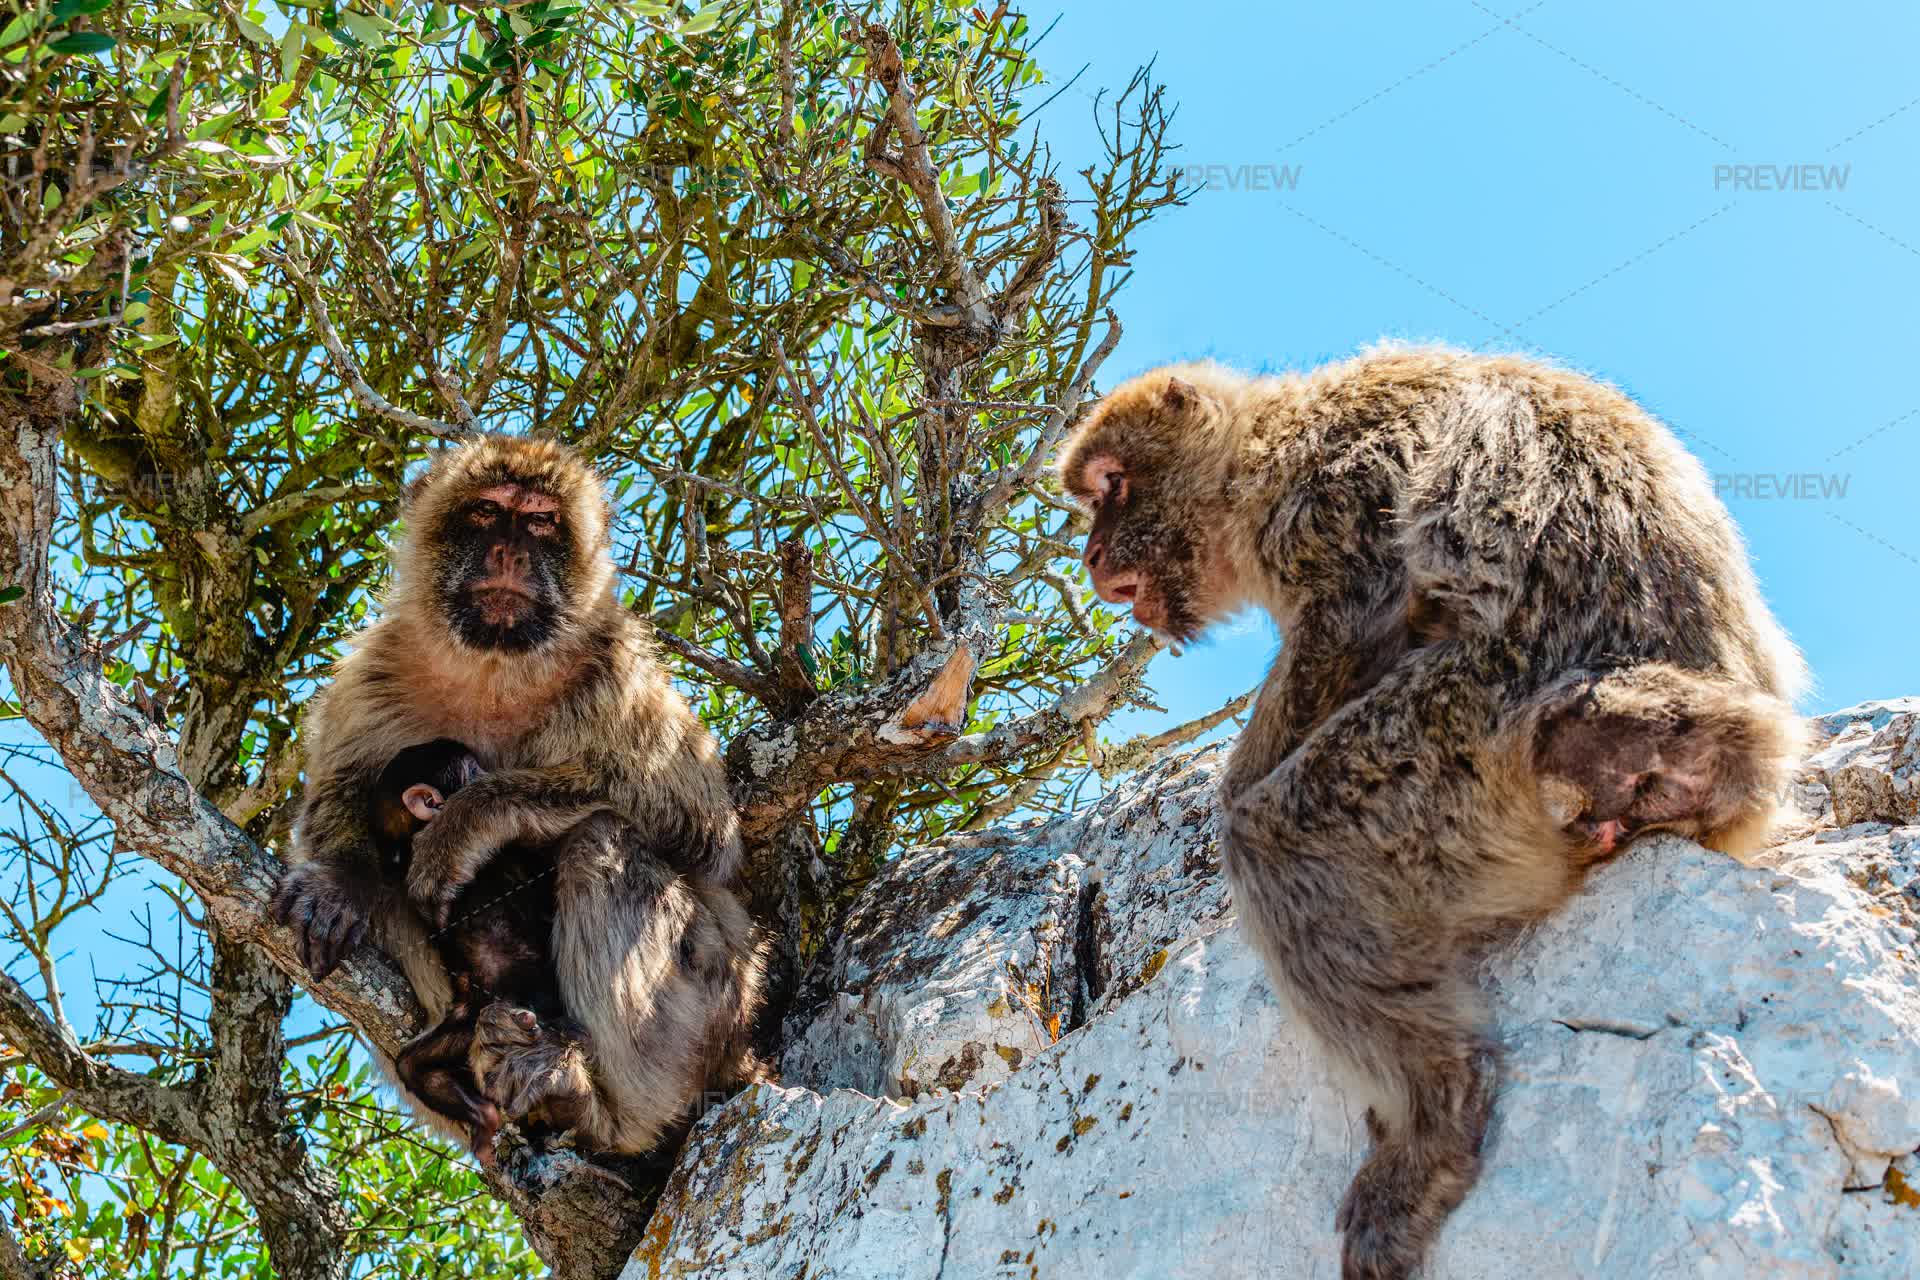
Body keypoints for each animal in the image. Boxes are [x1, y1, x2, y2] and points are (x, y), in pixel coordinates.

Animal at [271, 434, 767, 1157]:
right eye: (485, 513)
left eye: (539, 523)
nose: (509, 552)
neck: (494, 668)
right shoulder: (374, 671)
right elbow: (337, 800)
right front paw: (339, 882)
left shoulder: (617, 671)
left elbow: (701, 831)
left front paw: (467, 823)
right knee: (396, 899)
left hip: (707, 1007)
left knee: (602, 840)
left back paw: (598, 1104)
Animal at [1057, 347, 1805, 1280]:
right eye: (1091, 499)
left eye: (1112, 483)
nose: (1090, 555)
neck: (1264, 449)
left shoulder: (1331, 489)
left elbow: (1352, 613)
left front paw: (1240, 778)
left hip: (1462, 752)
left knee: (1281, 839)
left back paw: (1435, 1120)